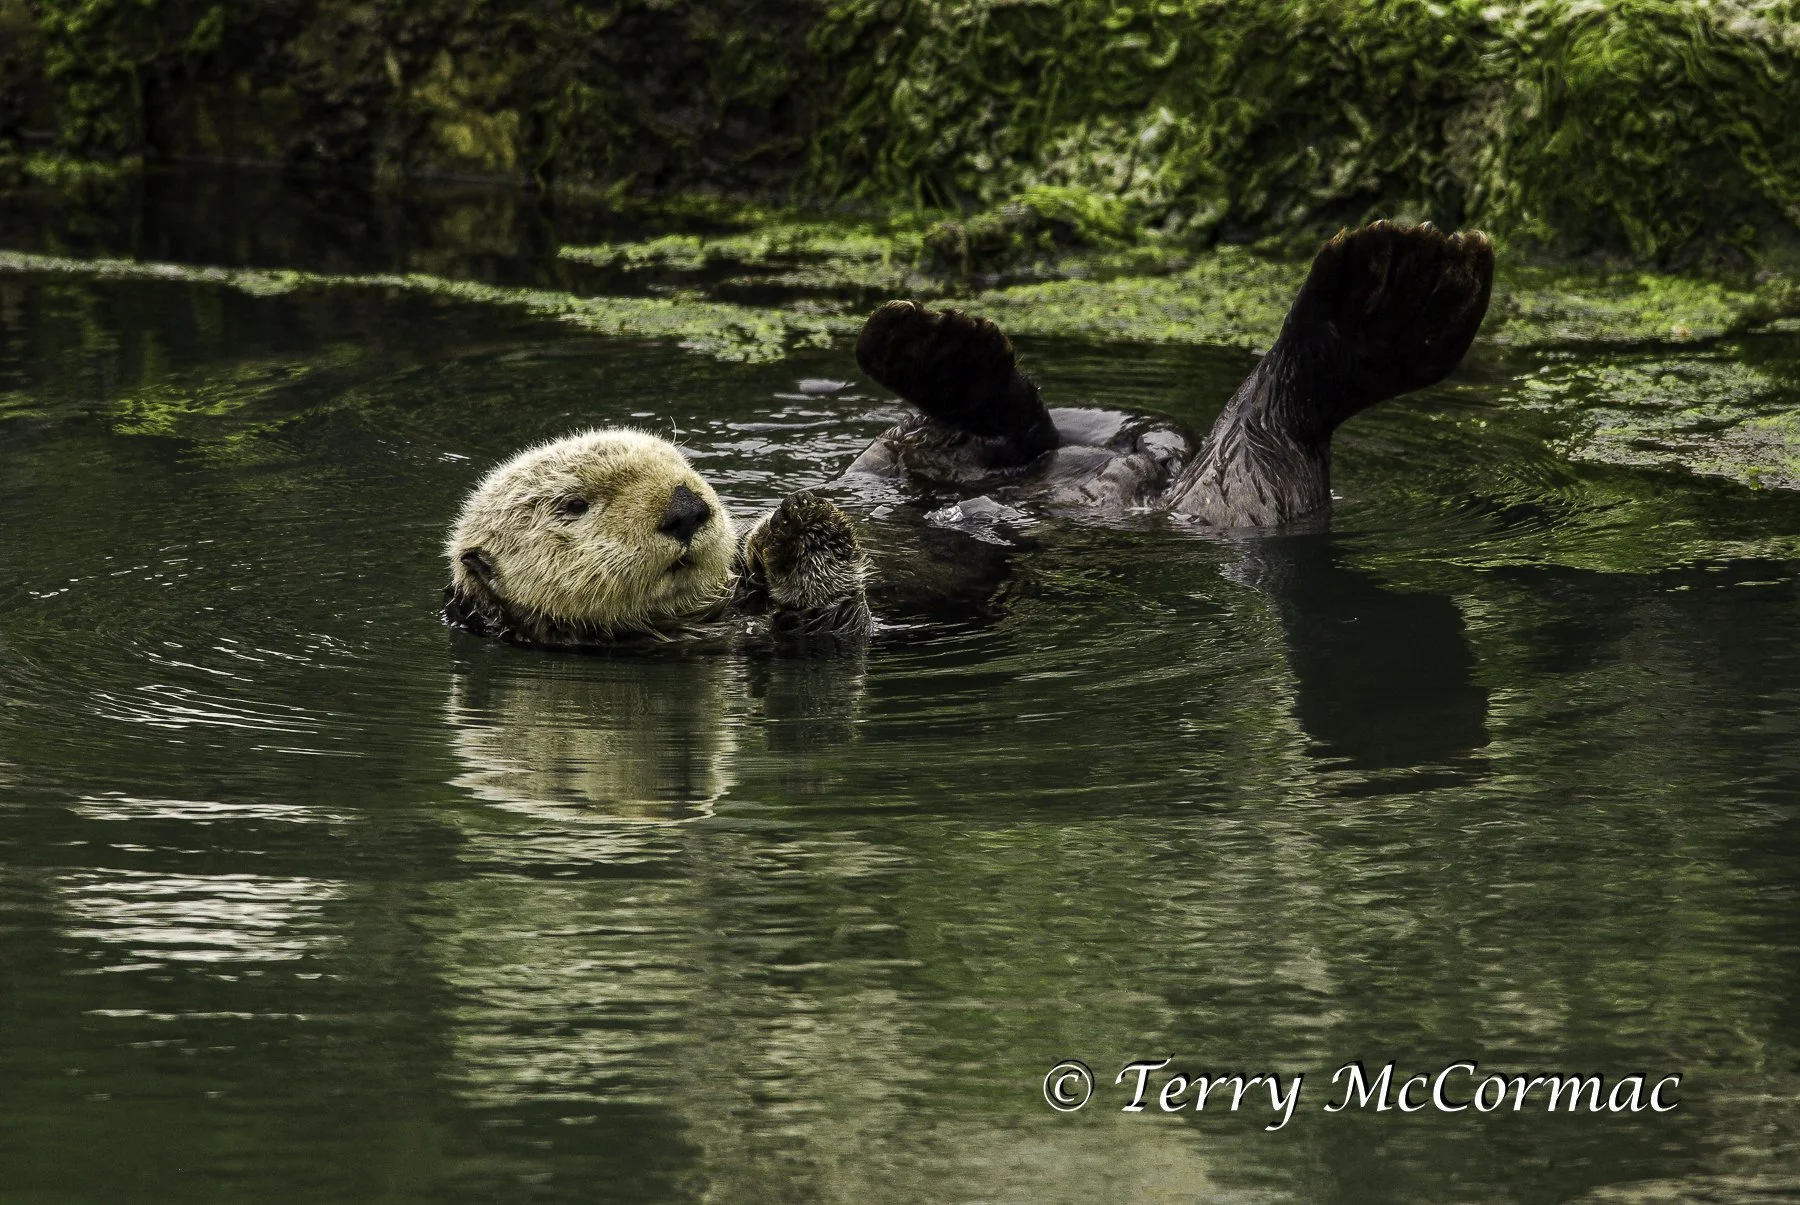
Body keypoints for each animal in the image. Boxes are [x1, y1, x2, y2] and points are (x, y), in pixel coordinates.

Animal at [443, 220, 1493, 649]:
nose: (688, 507)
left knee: (983, 432)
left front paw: (790, 520)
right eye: (573, 504)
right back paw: (1392, 290)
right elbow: (834, 617)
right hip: (1241, 497)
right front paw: (799, 535)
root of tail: (1143, 475)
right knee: (1283, 428)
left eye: (687, 468)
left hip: (946, 453)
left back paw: (935, 345)